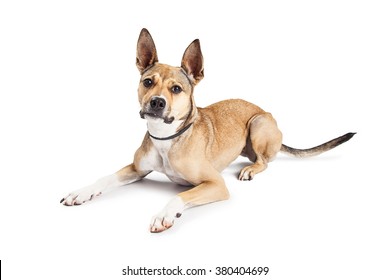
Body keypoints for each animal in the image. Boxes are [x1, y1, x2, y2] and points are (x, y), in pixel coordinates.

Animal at [59, 28, 354, 233]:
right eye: (148, 82)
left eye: (176, 88)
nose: (157, 102)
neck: (167, 137)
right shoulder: (137, 168)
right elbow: (105, 177)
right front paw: (82, 192)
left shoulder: (215, 184)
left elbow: (180, 194)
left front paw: (165, 214)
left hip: (258, 124)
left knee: (264, 161)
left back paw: (250, 168)